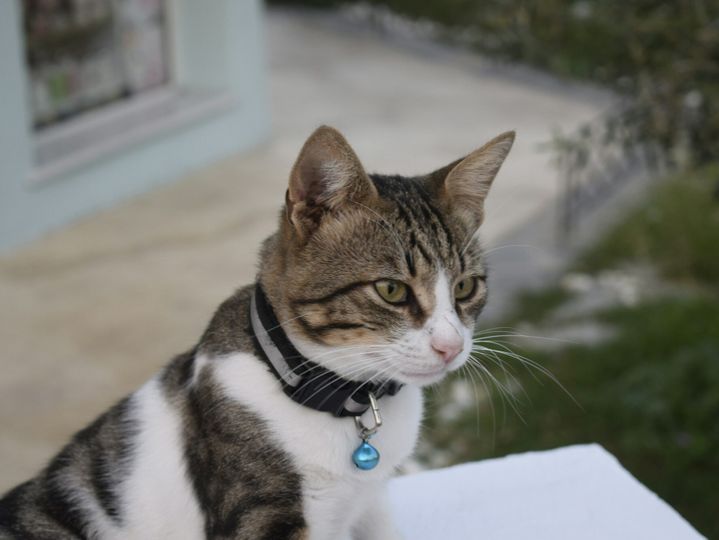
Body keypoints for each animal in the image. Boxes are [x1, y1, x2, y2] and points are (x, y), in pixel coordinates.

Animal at [1, 124, 516, 536]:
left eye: (466, 287)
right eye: (391, 289)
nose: (450, 346)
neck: (336, 403)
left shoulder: (369, 504)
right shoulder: (260, 511)